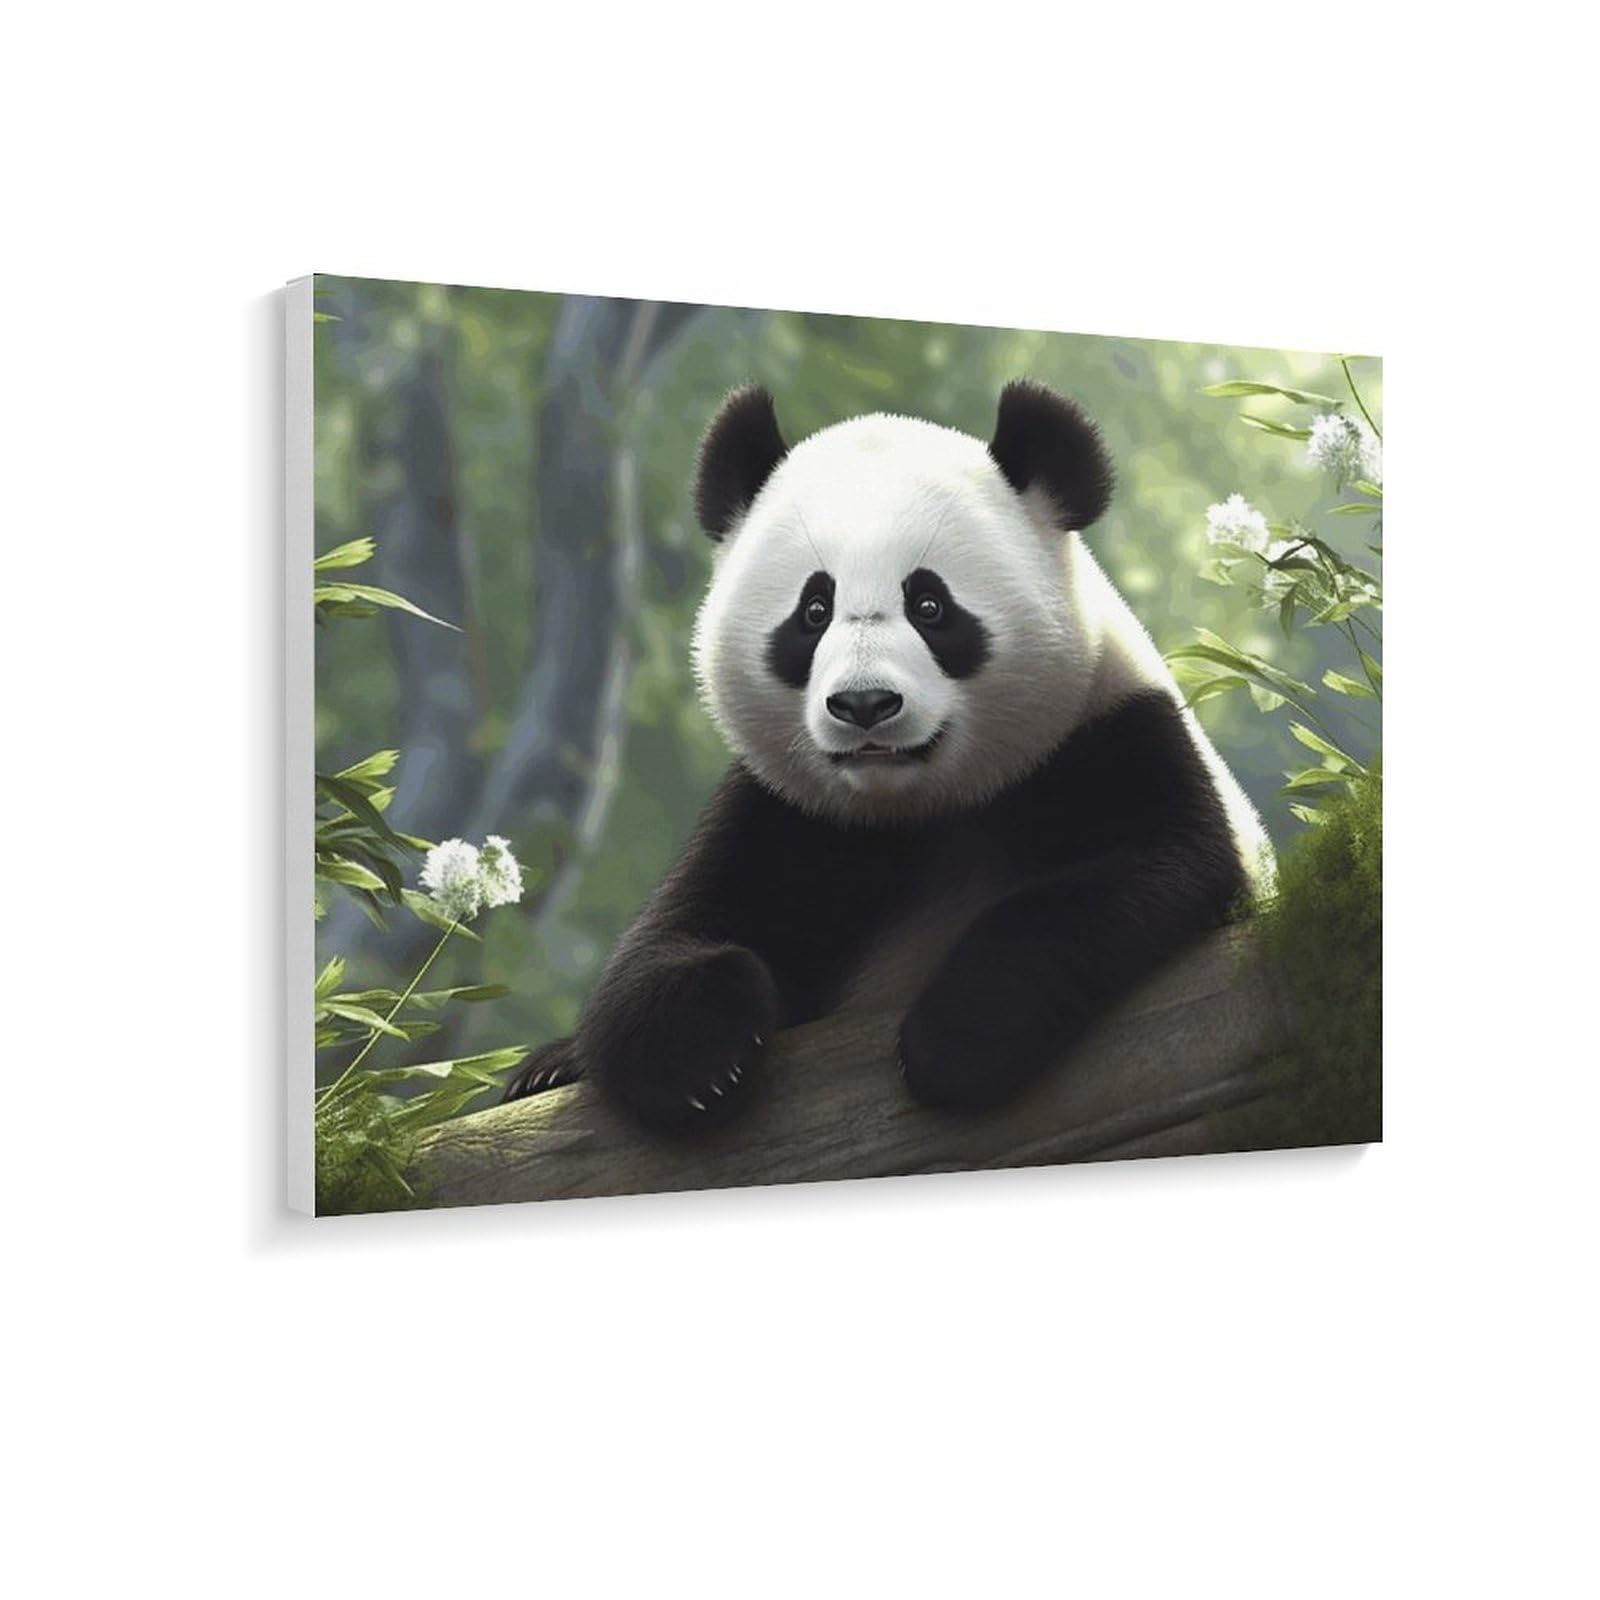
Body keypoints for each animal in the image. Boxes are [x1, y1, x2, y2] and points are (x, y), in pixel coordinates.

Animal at [504, 380, 1272, 1126]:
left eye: (929, 605)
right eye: (814, 611)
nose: (865, 704)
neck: (924, 806)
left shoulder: (1112, 735)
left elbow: (1147, 870)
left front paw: (959, 1037)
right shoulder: (788, 812)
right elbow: (675, 932)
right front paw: (695, 1055)